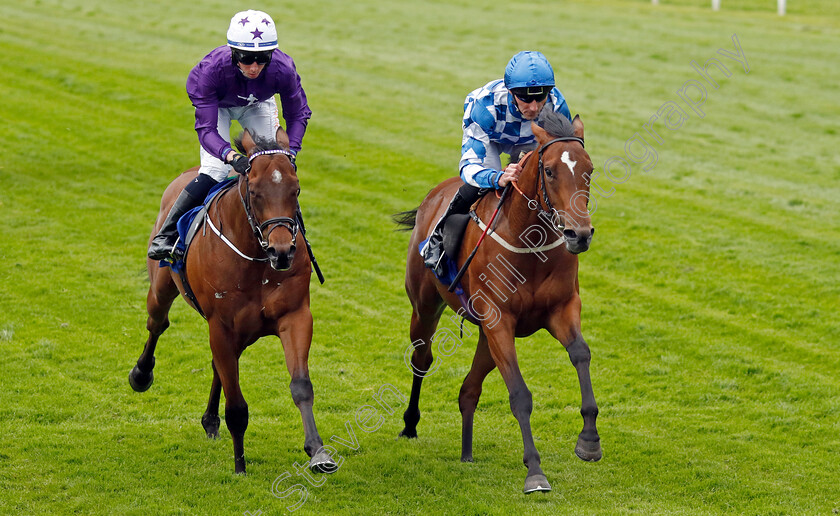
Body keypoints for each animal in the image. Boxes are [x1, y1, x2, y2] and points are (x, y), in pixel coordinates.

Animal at [128, 130, 334, 476]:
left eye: (296, 190)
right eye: (254, 192)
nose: (282, 252)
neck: (256, 258)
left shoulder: (295, 316)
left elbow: (301, 386)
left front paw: (318, 452)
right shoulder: (221, 326)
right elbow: (237, 405)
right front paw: (240, 466)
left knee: (218, 365)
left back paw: (210, 420)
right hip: (161, 290)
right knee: (157, 324)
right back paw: (141, 374)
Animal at [396, 112, 600, 492]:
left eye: (589, 169)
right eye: (550, 171)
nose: (578, 234)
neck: (529, 243)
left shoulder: (561, 309)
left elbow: (581, 353)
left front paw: (589, 441)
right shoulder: (498, 319)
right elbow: (519, 394)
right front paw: (535, 471)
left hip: (484, 338)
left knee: (468, 389)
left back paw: (466, 452)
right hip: (425, 307)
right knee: (422, 359)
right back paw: (410, 423)